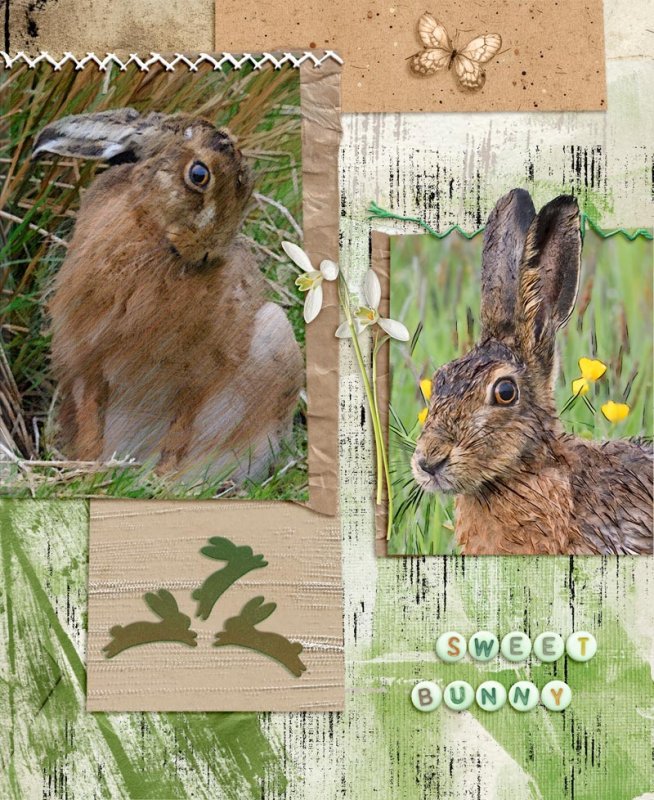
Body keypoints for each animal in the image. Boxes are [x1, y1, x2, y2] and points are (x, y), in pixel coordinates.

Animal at [32, 108, 303, 484]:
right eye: (199, 175)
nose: (209, 253)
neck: (152, 238)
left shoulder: (196, 374)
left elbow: (180, 429)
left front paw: (161, 478)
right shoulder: (87, 359)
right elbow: (90, 420)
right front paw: (88, 471)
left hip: (276, 337)